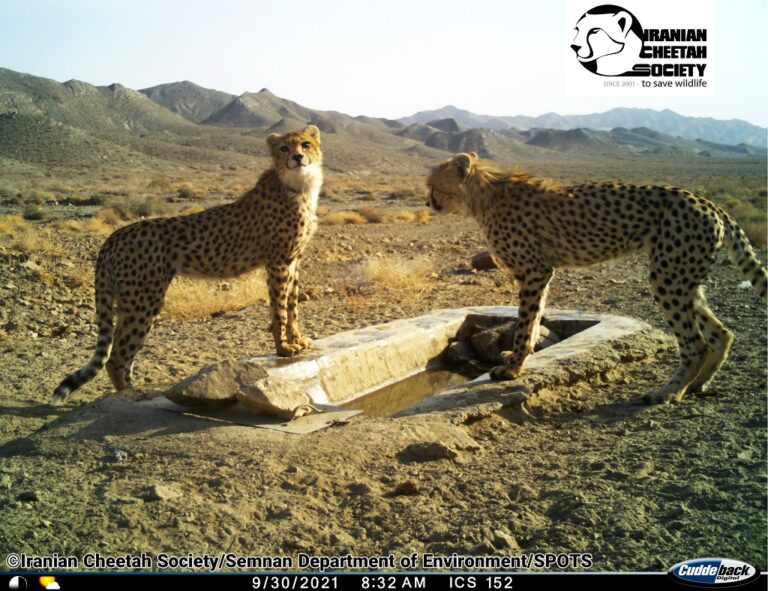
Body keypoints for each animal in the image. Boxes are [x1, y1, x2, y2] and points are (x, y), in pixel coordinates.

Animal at [50, 125, 320, 408]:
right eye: (284, 148)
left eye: (305, 144)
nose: (298, 158)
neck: (299, 184)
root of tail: (115, 235)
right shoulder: (278, 261)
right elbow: (279, 308)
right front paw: (283, 348)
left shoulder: (294, 261)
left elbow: (292, 305)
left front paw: (297, 339)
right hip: (143, 300)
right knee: (116, 357)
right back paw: (130, 396)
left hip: (134, 301)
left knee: (122, 354)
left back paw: (133, 389)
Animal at [426, 150, 768, 404]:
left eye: (432, 184)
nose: (427, 202)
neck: (481, 196)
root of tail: (709, 204)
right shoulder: (540, 272)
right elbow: (534, 318)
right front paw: (520, 358)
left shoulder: (534, 270)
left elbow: (525, 323)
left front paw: (512, 368)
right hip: (684, 279)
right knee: (722, 333)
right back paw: (698, 384)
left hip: (668, 277)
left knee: (695, 342)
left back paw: (669, 392)